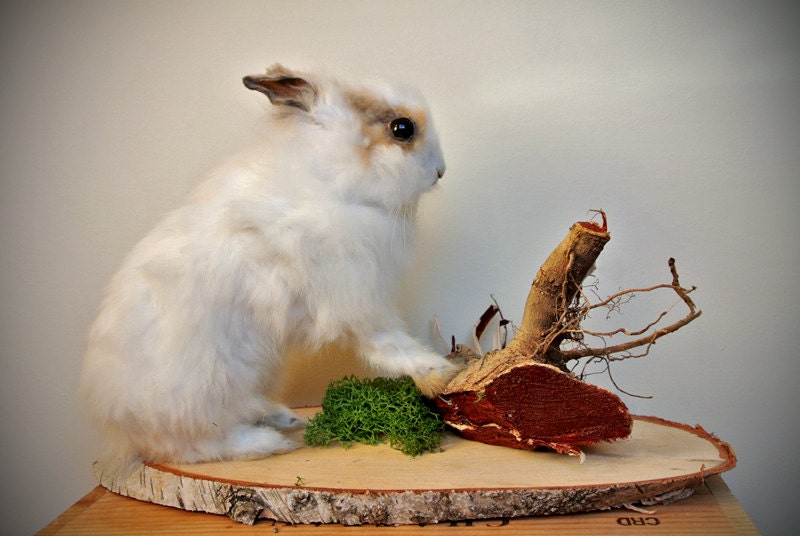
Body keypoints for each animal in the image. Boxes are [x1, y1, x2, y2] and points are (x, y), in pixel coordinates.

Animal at [78, 64, 458, 465]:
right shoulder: (354, 299)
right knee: (195, 445)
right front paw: (439, 372)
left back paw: (283, 416)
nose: (440, 170)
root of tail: (122, 427)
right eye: (402, 129)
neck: (332, 180)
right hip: (204, 394)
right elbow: (388, 344)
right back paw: (267, 442)